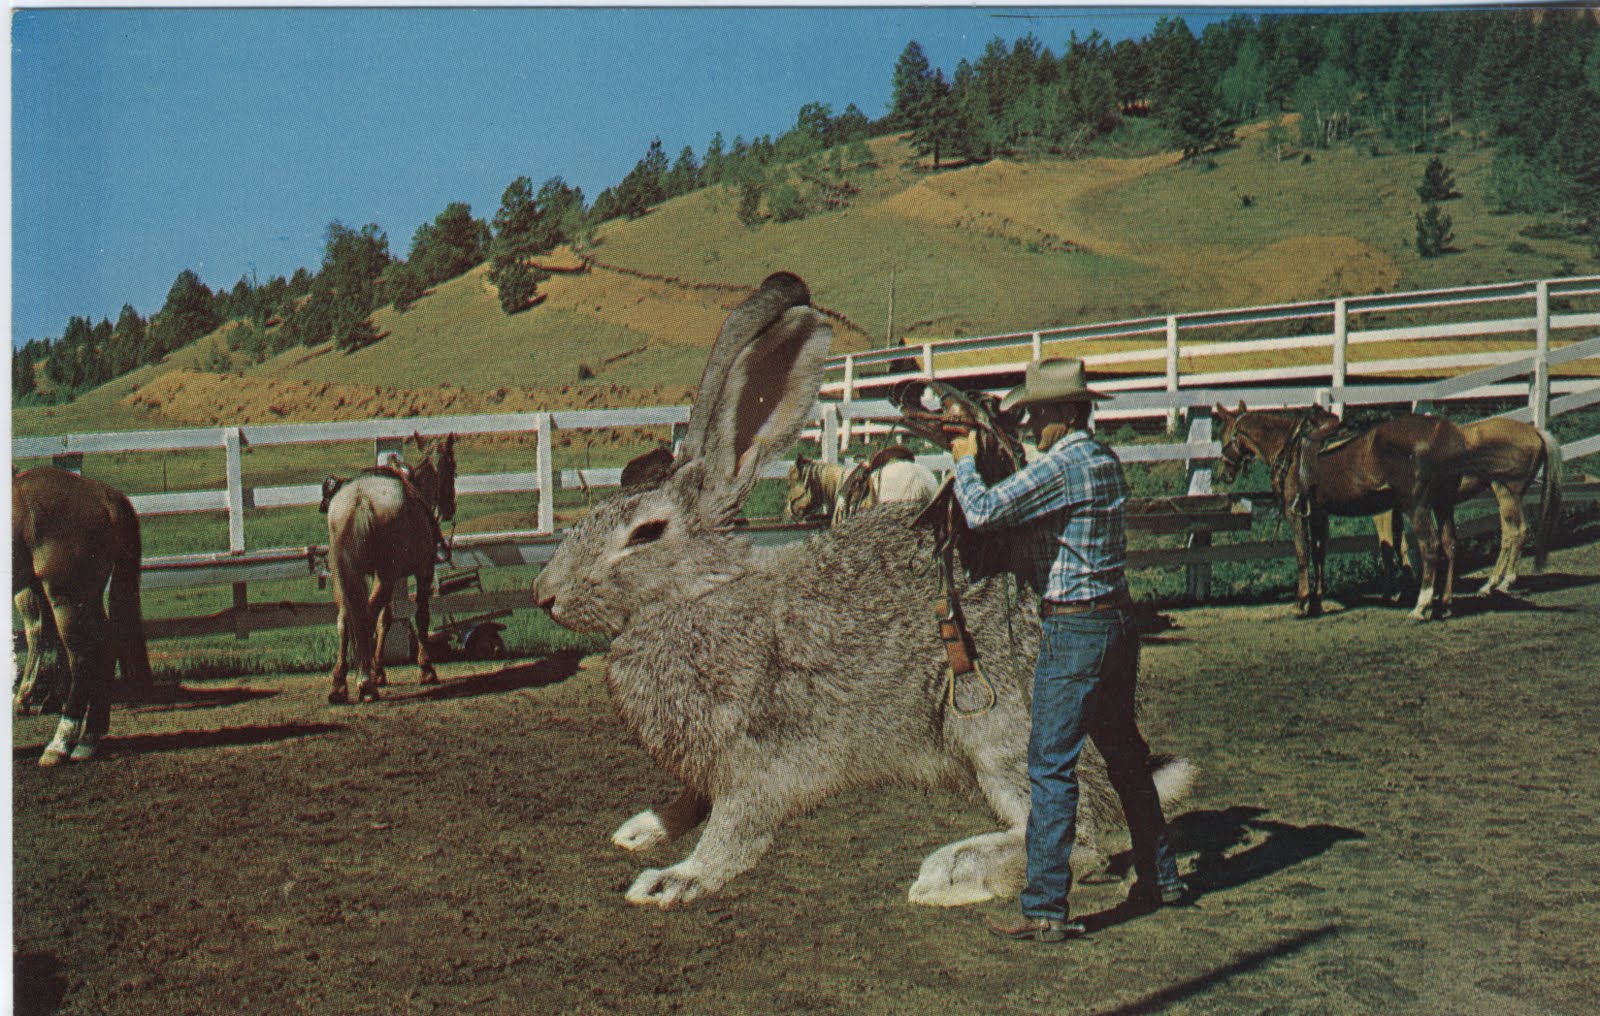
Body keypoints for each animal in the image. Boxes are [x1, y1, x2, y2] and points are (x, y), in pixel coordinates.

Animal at [12, 470, 152, 761]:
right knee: (103, 648)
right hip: (86, 598)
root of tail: (104, 495)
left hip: (66, 597)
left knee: (81, 656)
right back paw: (88, 739)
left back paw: (61, 743)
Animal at [321, 432, 454, 704]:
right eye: (453, 467)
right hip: (387, 576)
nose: (450, 508)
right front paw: (426, 668)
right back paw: (365, 683)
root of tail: (360, 500)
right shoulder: (423, 570)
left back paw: (340, 684)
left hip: (347, 576)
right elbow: (421, 616)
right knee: (366, 617)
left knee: (346, 620)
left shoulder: (376, 576)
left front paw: (380, 670)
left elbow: (386, 618)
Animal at [1216, 404, 1465, 620]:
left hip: (1416, 506)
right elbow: (1318, 555)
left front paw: (1301, 602)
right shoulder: (1318, 513)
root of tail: (1440, 432)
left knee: (1430, 546)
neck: (1289, 448)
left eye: (1223, 435)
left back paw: (1421, 606)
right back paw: (1444, 604)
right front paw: (1316, 603)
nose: (1222, 472)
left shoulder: (1295, 512)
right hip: (1443, 504)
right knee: (1449, 544)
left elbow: (1302, 554)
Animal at [1369, 416, 1568, 595]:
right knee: (1510, 534)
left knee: (1516, 532)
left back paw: (1501, 583)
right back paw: (1493, 583)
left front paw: (1393, 592)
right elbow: (1399, 545)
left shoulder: (1384, 513)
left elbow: (1387, 547)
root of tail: (1534, 431)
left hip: (1506, 494)